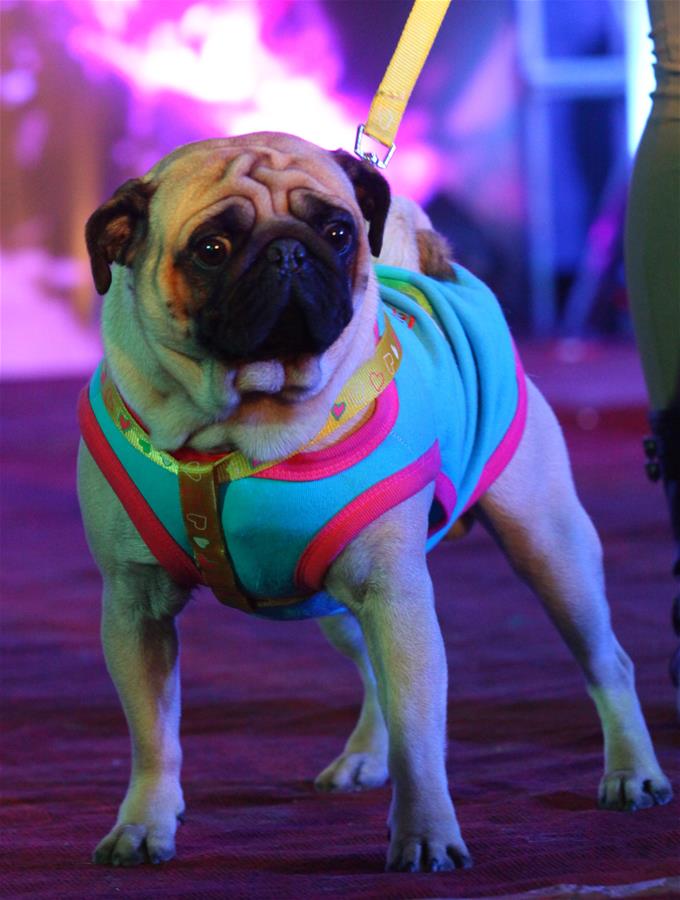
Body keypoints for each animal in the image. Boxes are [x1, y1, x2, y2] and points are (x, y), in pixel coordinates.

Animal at [77, 134, 672, 872]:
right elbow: (153, 738)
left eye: (337, 232)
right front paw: (143, 824)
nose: (288, 251)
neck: (239, 431)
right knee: (371, 677)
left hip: (549, 550)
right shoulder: (136, 611)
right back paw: (365, 756)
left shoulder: (395, 596)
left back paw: (632, 771)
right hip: (331, 605)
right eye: (212, 248)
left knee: (606, 662)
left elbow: (420, 734)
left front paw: (425, 835)